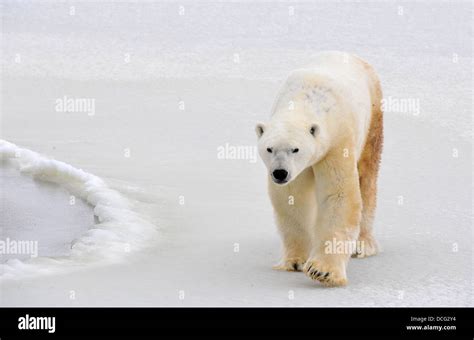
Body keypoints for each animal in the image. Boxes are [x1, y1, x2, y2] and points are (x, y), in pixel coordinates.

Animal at [256, 50, 382, 286]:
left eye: (295, 149)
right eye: (269, 149)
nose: (279, 173)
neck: (305, 100)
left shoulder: (337, 142)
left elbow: (338, 195)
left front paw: (323, 271)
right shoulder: (298, 170)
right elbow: (292, 197)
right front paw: (296, 261)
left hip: (373, 117)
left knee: (367, 177)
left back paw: (363, 245)